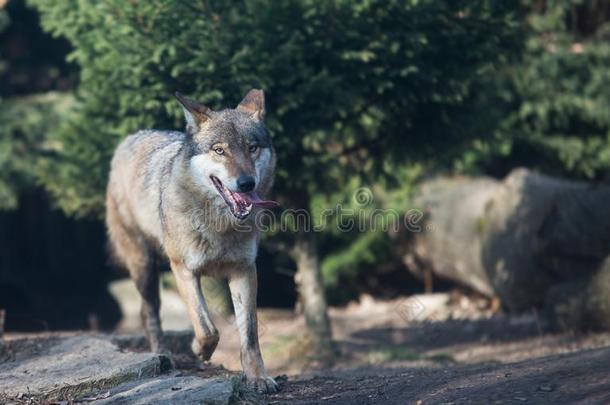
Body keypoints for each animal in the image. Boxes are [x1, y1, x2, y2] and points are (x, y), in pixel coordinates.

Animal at [106, 89, 278, 392]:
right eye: (219, 150)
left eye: (252, 147)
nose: (247, 183)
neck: (220, 225)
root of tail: (130, 137)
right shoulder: (183, 270)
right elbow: (207, 328)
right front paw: (198, 350)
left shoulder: (244, 270)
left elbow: (250, 335)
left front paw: (258, 378)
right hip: (144, 268)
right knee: (149, 313)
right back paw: (163, 355)